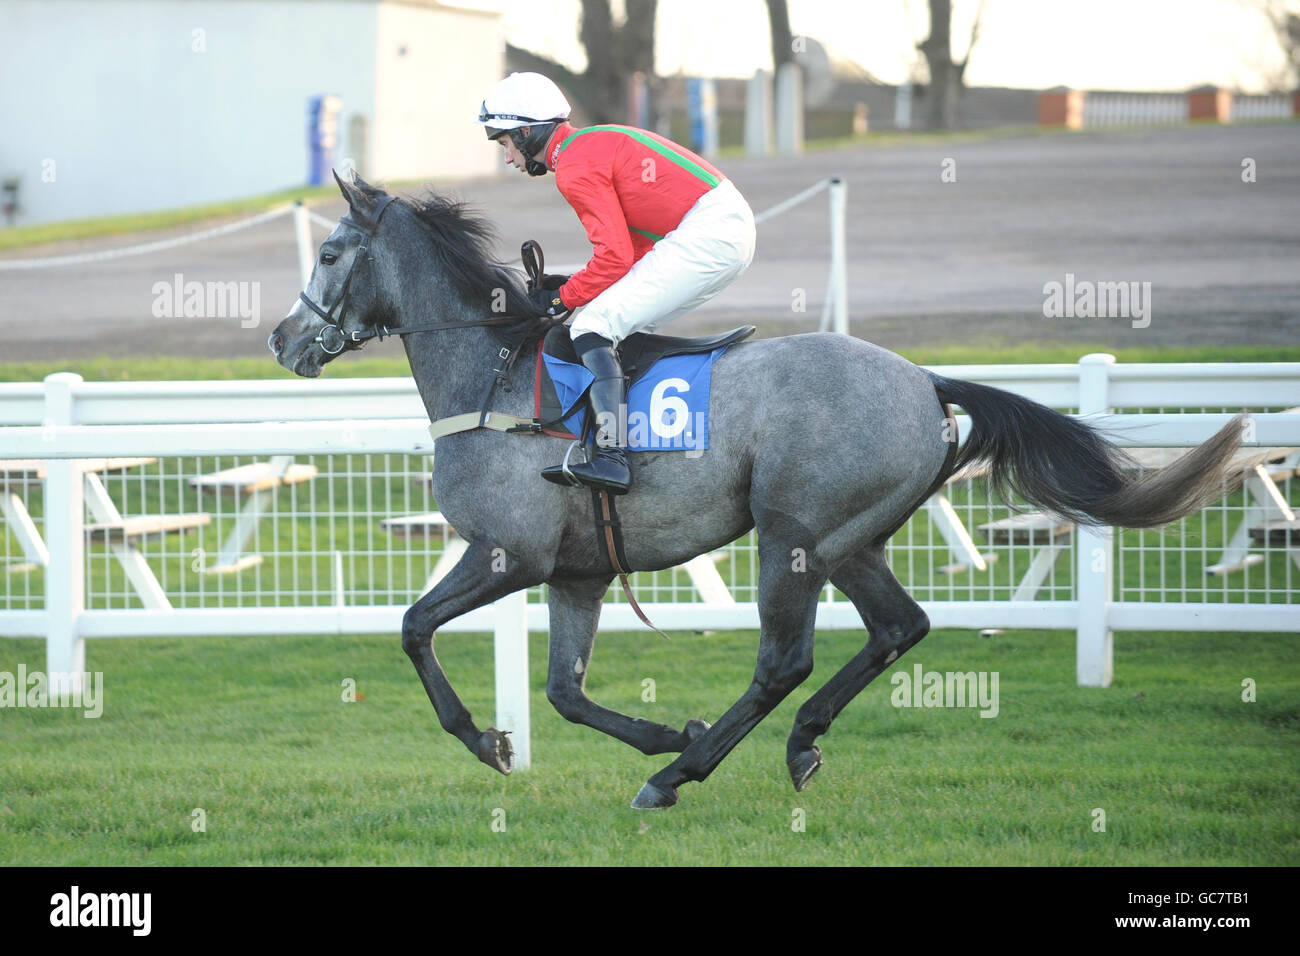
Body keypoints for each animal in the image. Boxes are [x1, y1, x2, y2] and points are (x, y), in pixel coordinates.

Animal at [269, 174, 1242, 806]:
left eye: (330, 252)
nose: (282, 339)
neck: (494, 373)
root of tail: (927, 381)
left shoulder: (511, 554)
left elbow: (414, 628)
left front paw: (491, 742)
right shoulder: (576, 574)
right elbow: (564, 694)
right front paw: (662, 729)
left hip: (792, 535)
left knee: (785, 659)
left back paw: (677, 778)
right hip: (851, 538)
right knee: (899, 627)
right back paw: (793, 745)